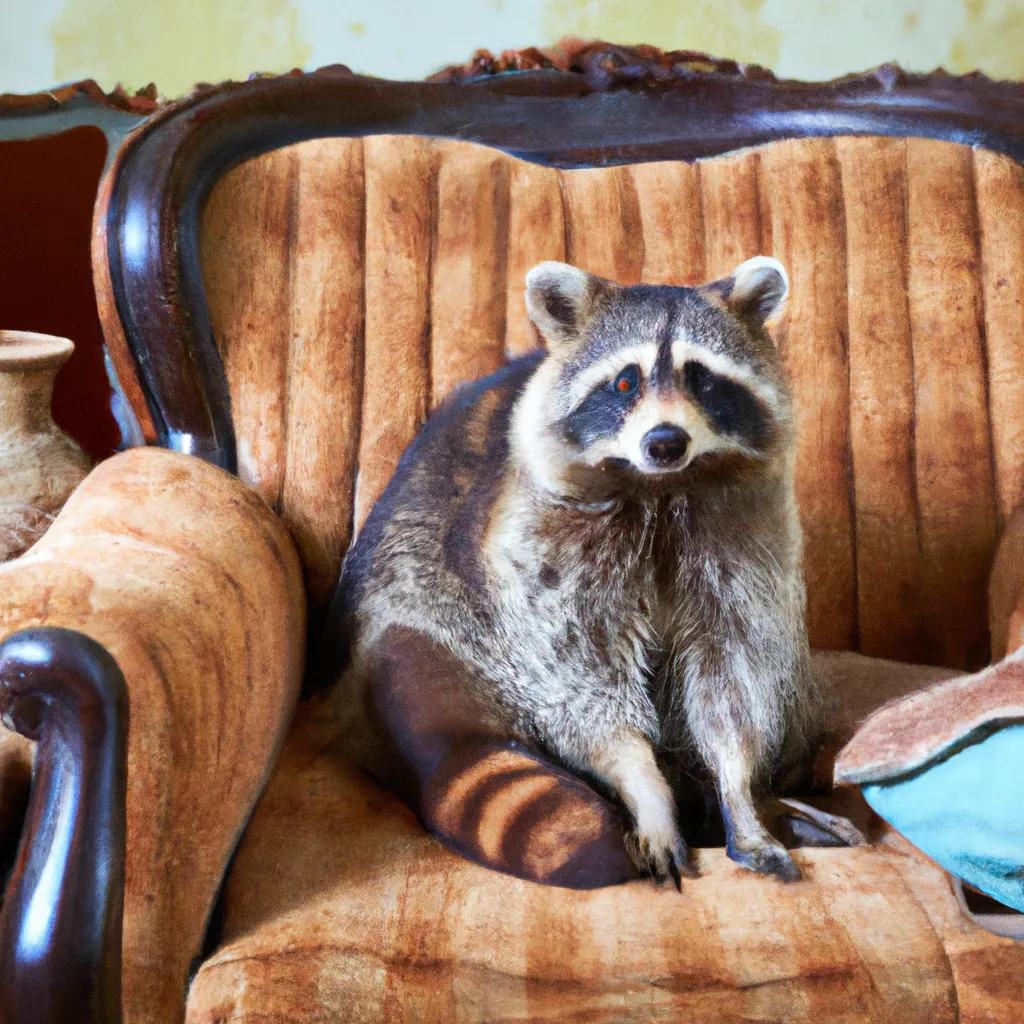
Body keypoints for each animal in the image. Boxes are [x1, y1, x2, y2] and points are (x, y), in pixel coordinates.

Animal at [331, 258, 827, 888]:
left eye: (702, 379)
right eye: (625, 382)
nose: (665, 441)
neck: (661, 488)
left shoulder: (744, 535)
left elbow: (732, 672)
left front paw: (737, 791)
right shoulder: (540, 543)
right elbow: (581, 680)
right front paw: (643, 783)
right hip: (419, 614)